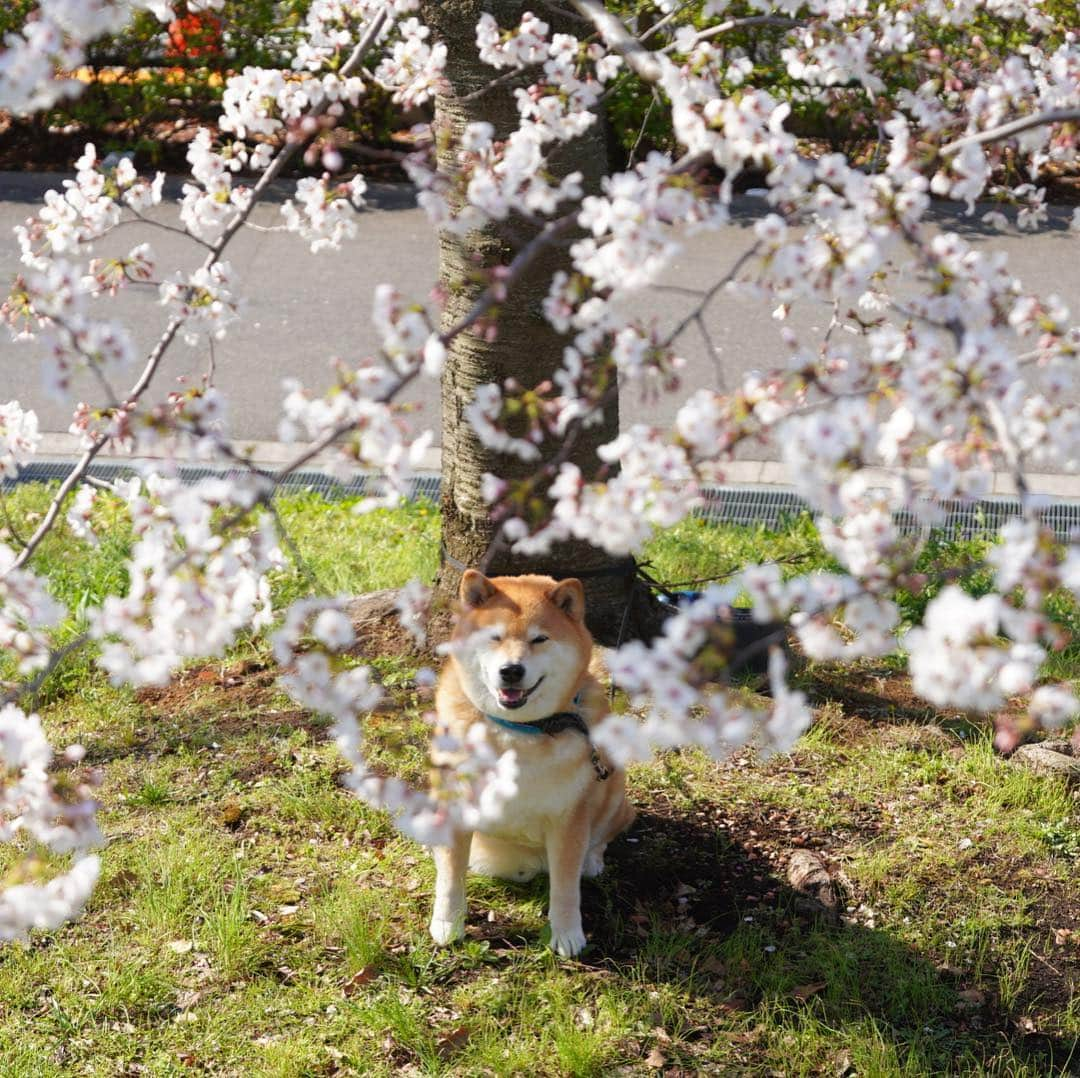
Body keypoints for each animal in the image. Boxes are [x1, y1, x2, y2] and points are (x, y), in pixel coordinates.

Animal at [427, 570, 630, 959]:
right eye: (495, 637)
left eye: (539, 639)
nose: (511, 670)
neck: (519, 730)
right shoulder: (455, 801)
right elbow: (450, 877)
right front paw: (447, 923)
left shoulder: (569, 819)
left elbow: (565, 888)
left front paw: (567, 933)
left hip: (613, 785)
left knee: (603, 836)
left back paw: (593, 860)